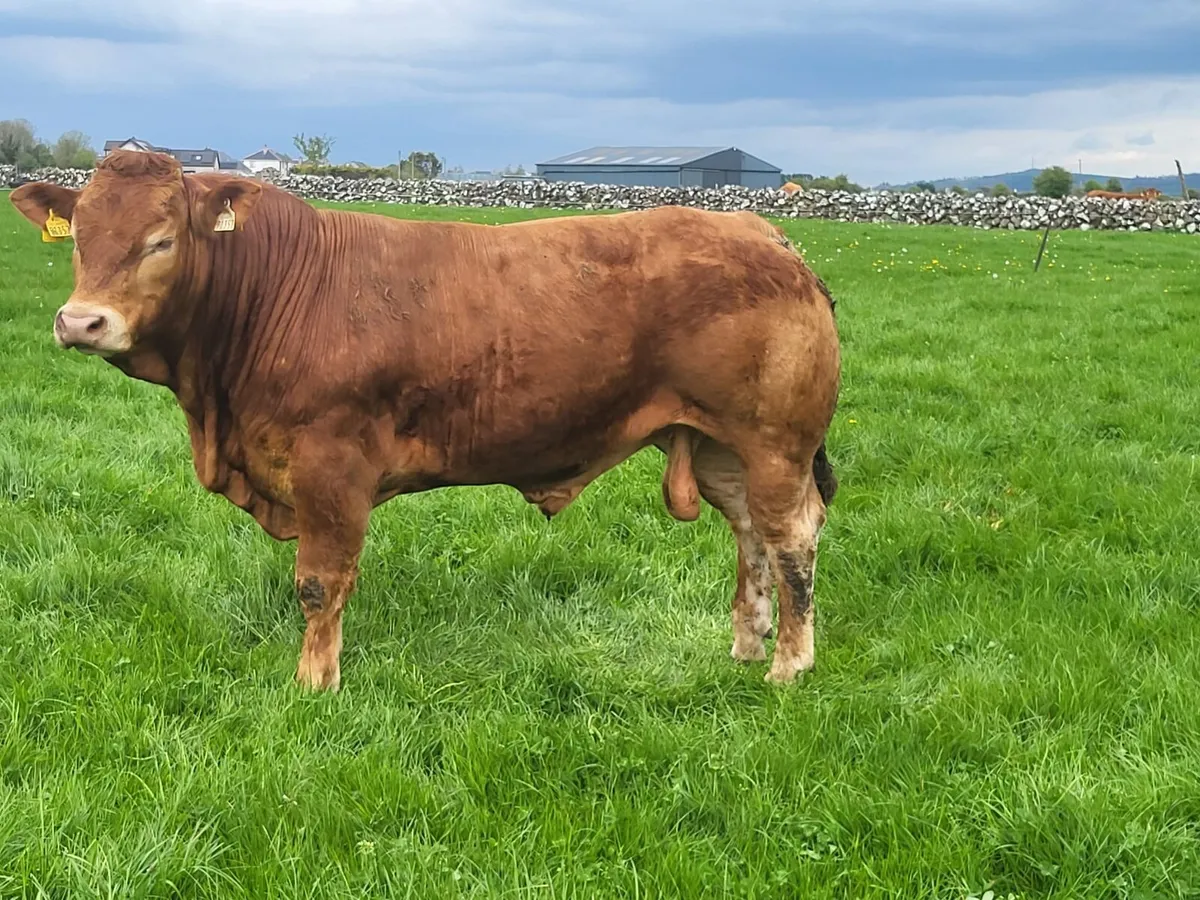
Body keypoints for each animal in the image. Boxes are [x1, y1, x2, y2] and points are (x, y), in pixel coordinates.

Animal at [10, 149, 841, 691]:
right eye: (80, 237)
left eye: (161, 240)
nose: (81, 322)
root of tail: (762, 232)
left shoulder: (331, 468)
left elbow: (319, 583)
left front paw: (315, 682)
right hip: (721, 446)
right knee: (751, 537)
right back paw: (745, 646)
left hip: (775, 442)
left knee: (792, 538)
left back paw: (788, 666)